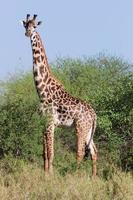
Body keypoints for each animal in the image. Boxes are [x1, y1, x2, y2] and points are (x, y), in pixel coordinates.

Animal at [21, 14, 97, 175]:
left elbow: (51, 152)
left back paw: (75, 175)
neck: (42, 90)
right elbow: (44, 153)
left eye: (34, 26)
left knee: (80, 152)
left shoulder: (50, 123)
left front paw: (50, 175)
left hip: (80, 128)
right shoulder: (43, 123)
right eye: (25, 25)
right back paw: (93, 178)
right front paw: (45, 174)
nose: (28, 33)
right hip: (88, 130)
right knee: (94, 151)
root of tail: (94, 114)